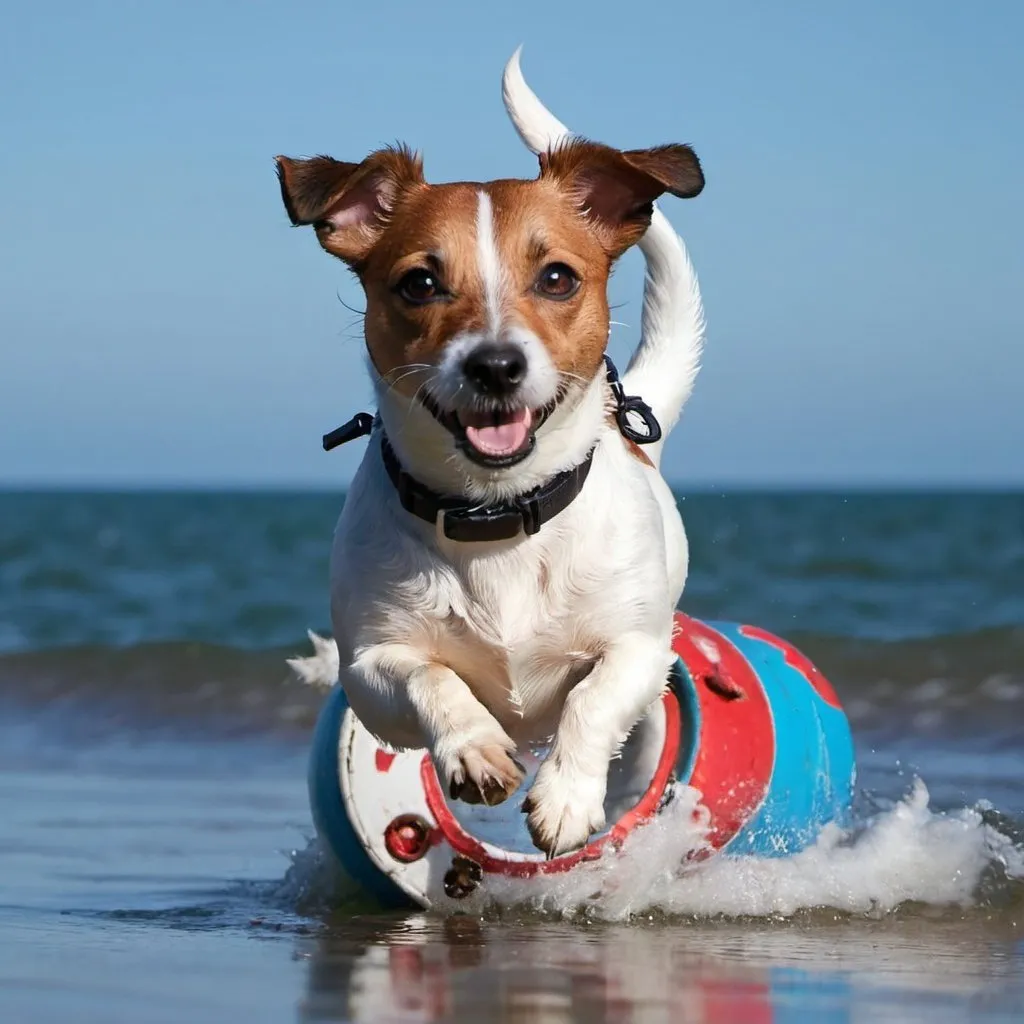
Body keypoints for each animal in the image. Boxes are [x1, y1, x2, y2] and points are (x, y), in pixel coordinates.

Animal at [278, 49, 704, 856]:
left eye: (558, 277)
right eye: (419, 283)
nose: (496, 365)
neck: (495, 515)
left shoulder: (639, 649)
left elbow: (596, 694)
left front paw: (567, 794)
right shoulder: (371, 668)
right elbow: (430, 679)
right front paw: (474, 748)